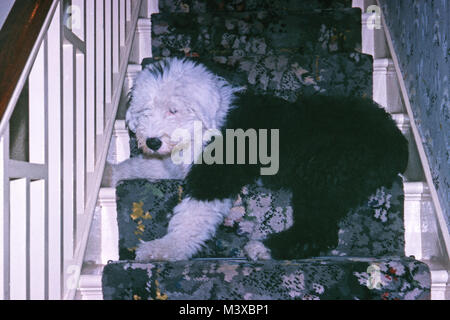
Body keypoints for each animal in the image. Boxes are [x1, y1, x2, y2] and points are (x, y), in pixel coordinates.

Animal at [109, 57, 408, 262]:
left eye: (174, 109)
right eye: (145, 110)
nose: (152, 142)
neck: (208, 124)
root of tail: (396, 139)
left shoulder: (215, 175)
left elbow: (193, 215)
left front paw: (164, 248)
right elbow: (144, 165)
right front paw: (113, 172)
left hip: (325, 174)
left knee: (318, 230)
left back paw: (263, 248)